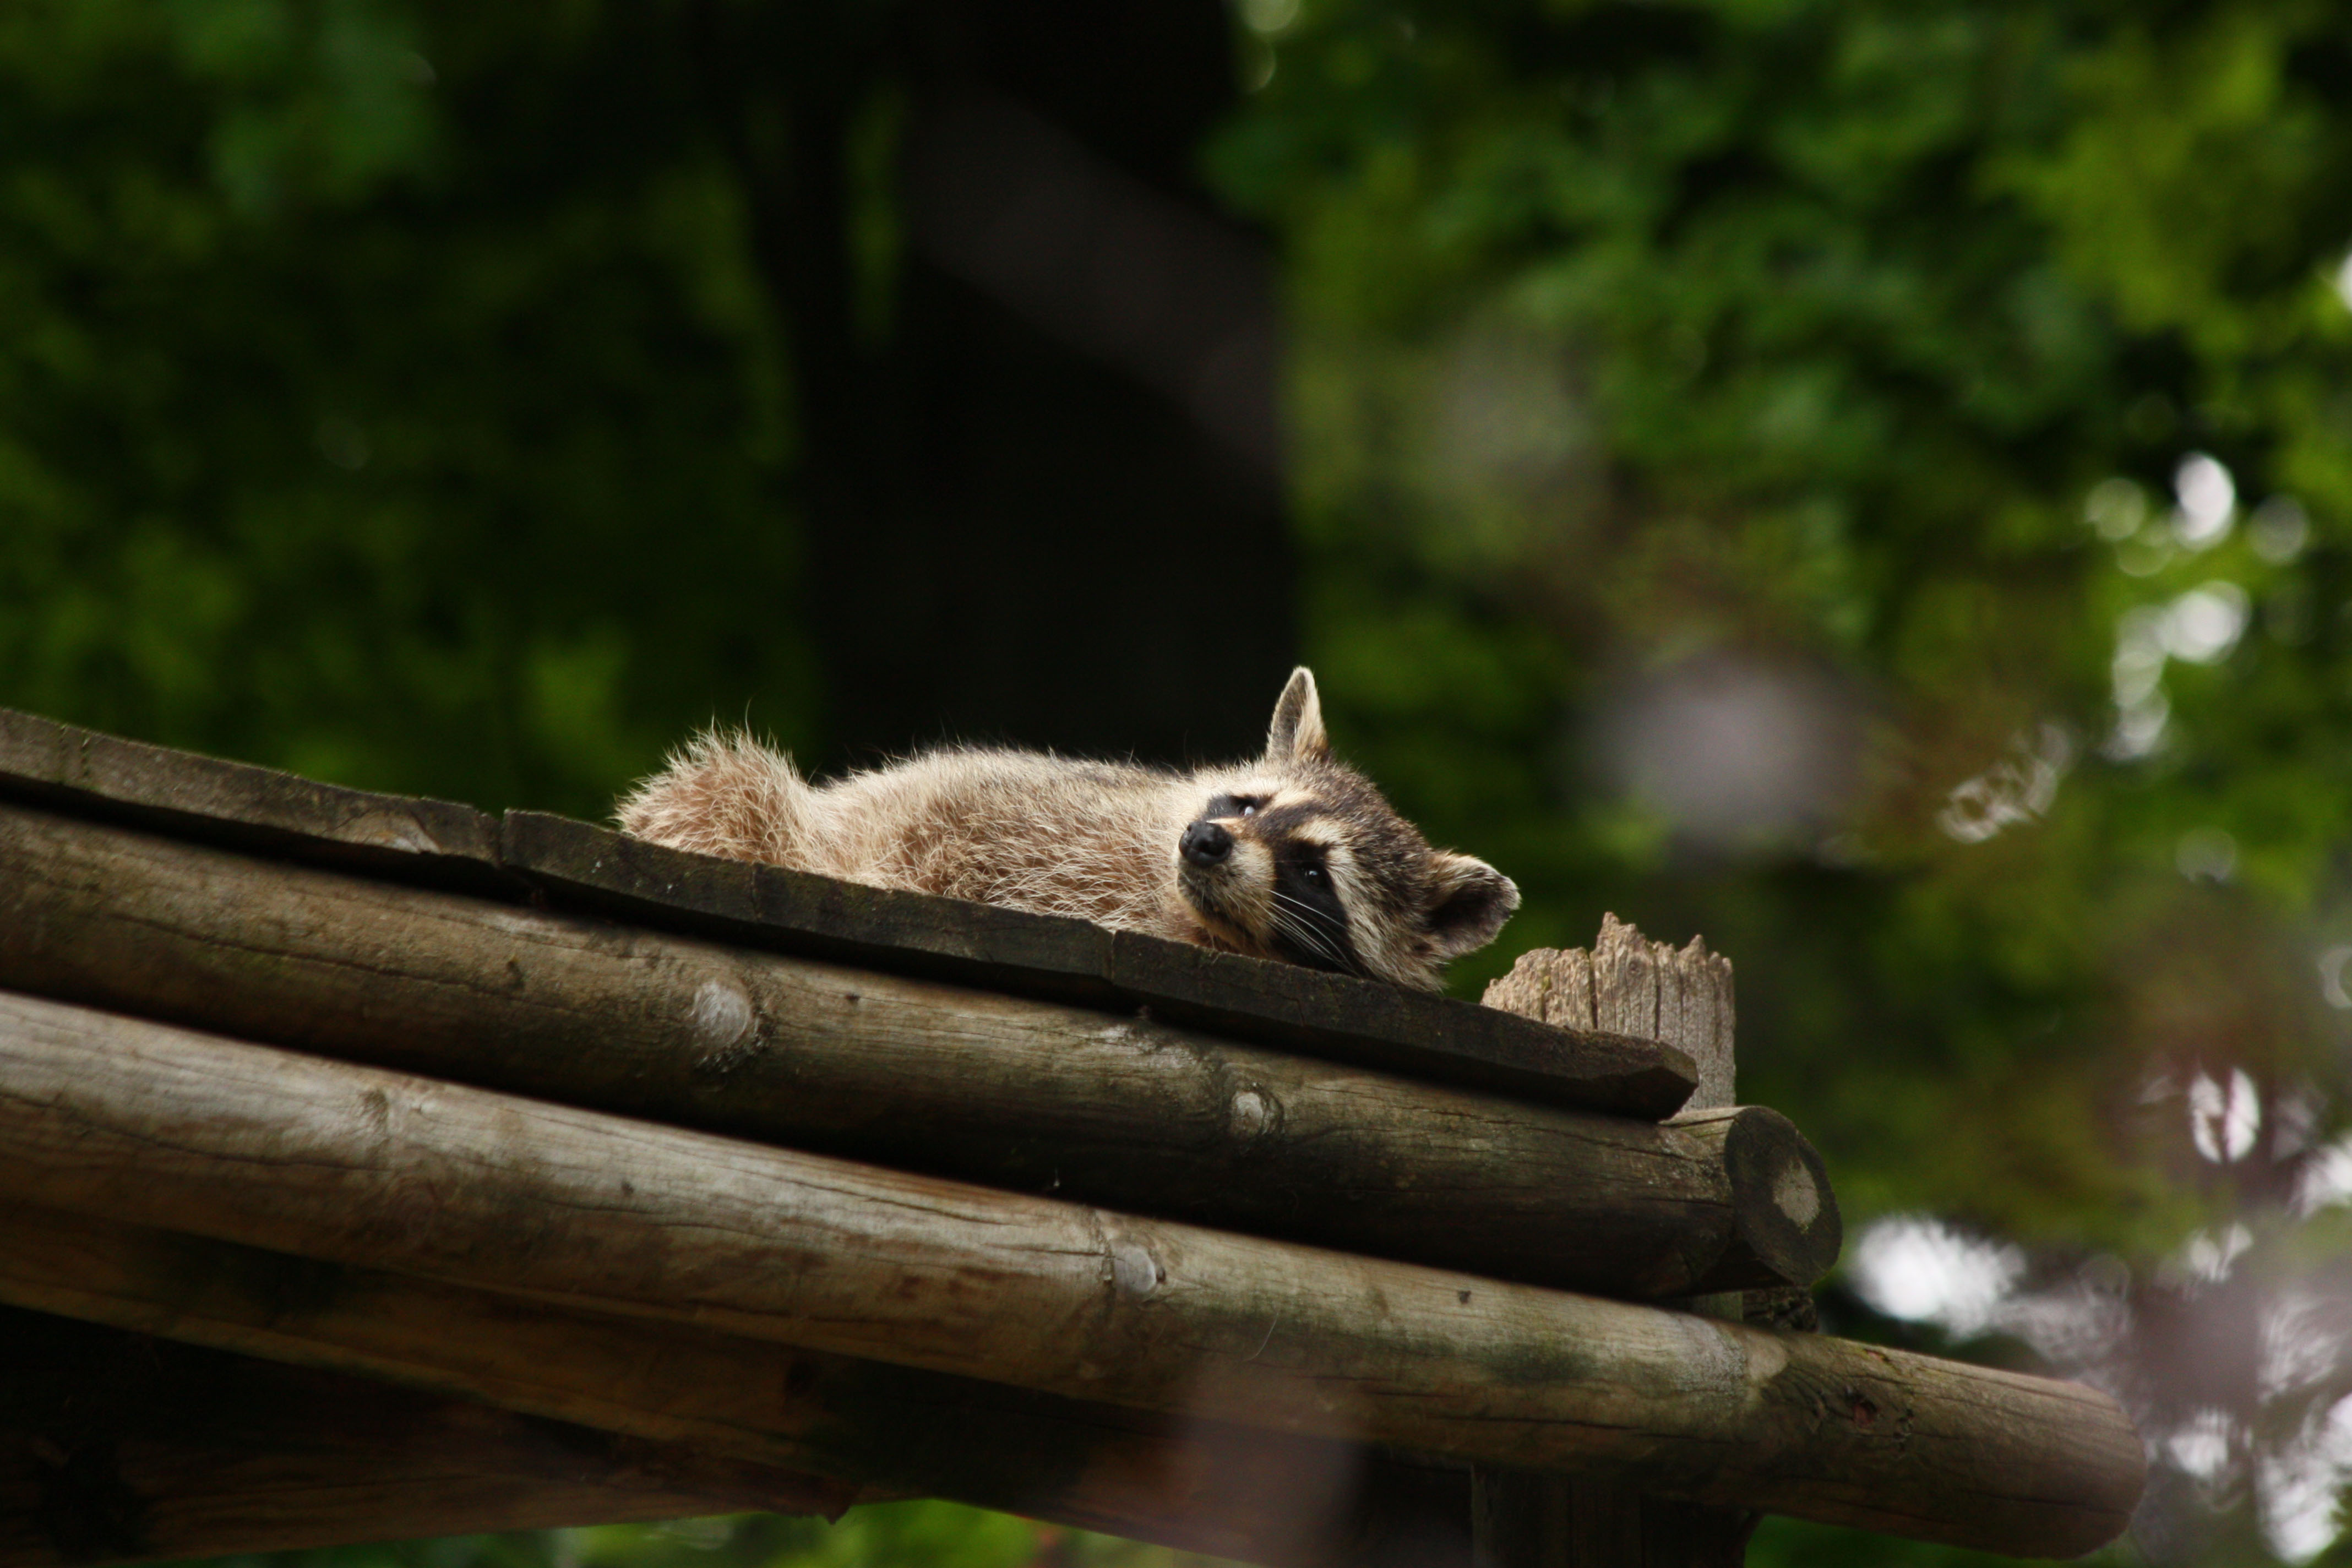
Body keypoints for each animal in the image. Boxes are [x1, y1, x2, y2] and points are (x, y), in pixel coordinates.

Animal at [616, 677, 1515, 992]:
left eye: (1313, 872)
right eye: (1249, 804)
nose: (1208, 842)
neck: (1185, 912)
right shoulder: (1038, 803)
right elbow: (935, 811)